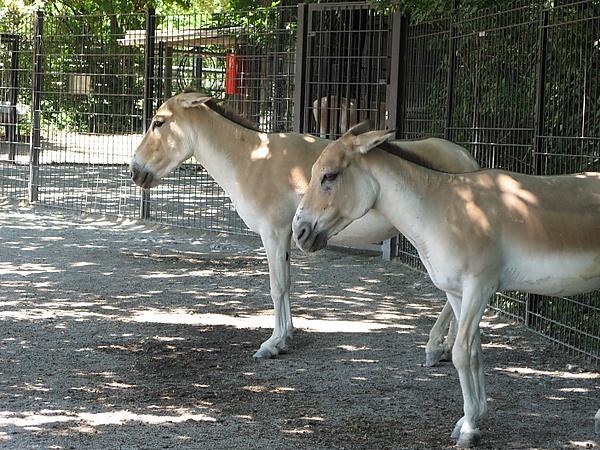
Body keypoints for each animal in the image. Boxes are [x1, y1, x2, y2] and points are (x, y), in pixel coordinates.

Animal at [129, 91, 480, 361]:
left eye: (158, 122)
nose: (134, 171)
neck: (250, 160)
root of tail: (468, 159)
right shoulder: (286, 235)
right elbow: (287, 283)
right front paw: (284, 339)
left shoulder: (272, 233)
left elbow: (277, 285)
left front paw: (273, 344)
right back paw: (445, 345)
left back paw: (438, 346)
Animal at [292, 127, 600, 447]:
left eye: (329, 176)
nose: (299, 232)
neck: (443, 210)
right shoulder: (456, 293)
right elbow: (475, 352)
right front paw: (471, 417)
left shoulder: (479, 288)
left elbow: (461, 353)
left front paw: (469, 429)